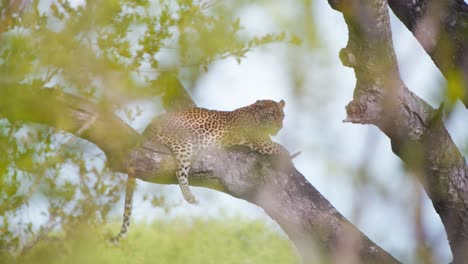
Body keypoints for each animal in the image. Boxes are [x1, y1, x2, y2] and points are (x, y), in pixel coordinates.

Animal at [111, 99, 288, 243]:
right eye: (272, 114)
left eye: (282, 116)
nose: (280, 127)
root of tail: (146, 129)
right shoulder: (261, 141)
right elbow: (281, 148)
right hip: (183, 143)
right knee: (180, 172)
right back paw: (189, 196)